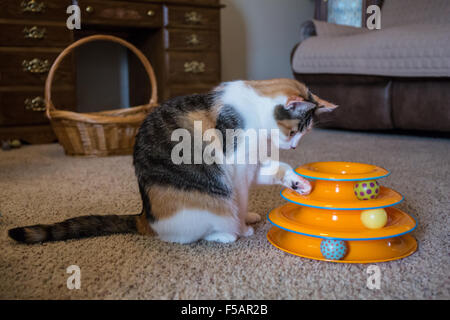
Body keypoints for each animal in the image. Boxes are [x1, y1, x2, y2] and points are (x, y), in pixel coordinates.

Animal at [8, 79, 336, 244]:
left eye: (304, 134)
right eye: (294, 131)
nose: (293, 145)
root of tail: (145, 218)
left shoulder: (254, 164)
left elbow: (278, 169)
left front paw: (299, 183)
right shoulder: (237, 167)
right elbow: (239, 198)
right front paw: (243, 226)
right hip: (212, 203)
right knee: (208, 227)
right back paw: (230, 233)